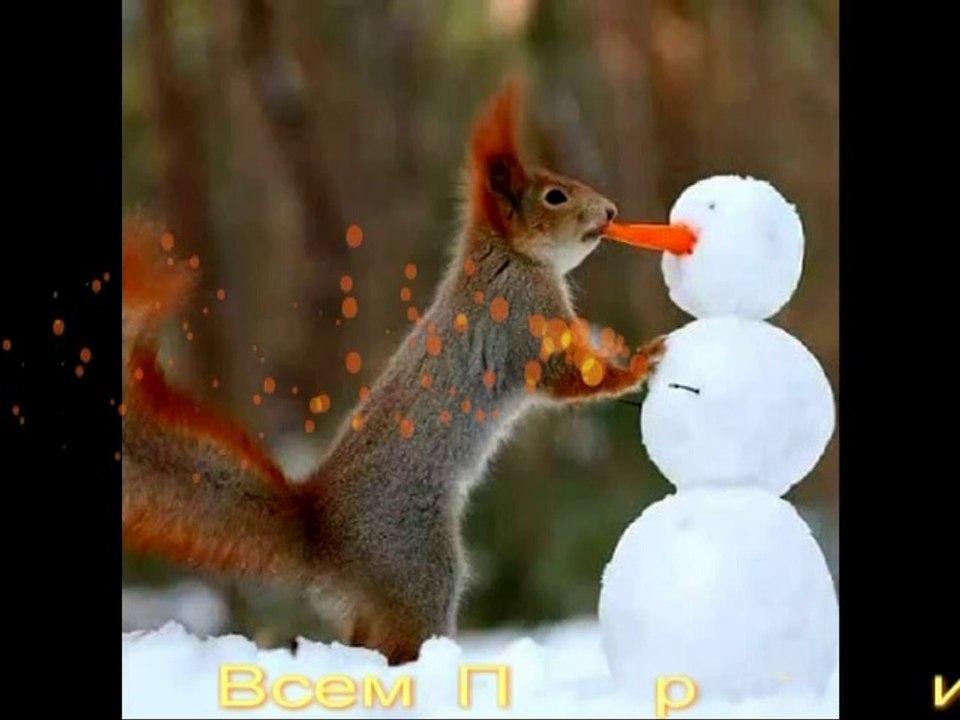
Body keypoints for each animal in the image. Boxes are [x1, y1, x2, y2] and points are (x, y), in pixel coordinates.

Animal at [122, 78, 667, 666]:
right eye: (555, 196)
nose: (610, 211)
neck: (509, 258)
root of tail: (323, 535)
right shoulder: (522, 326)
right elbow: (569, 377)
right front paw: (639, 362)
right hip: (417, 565)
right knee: (397, 642)